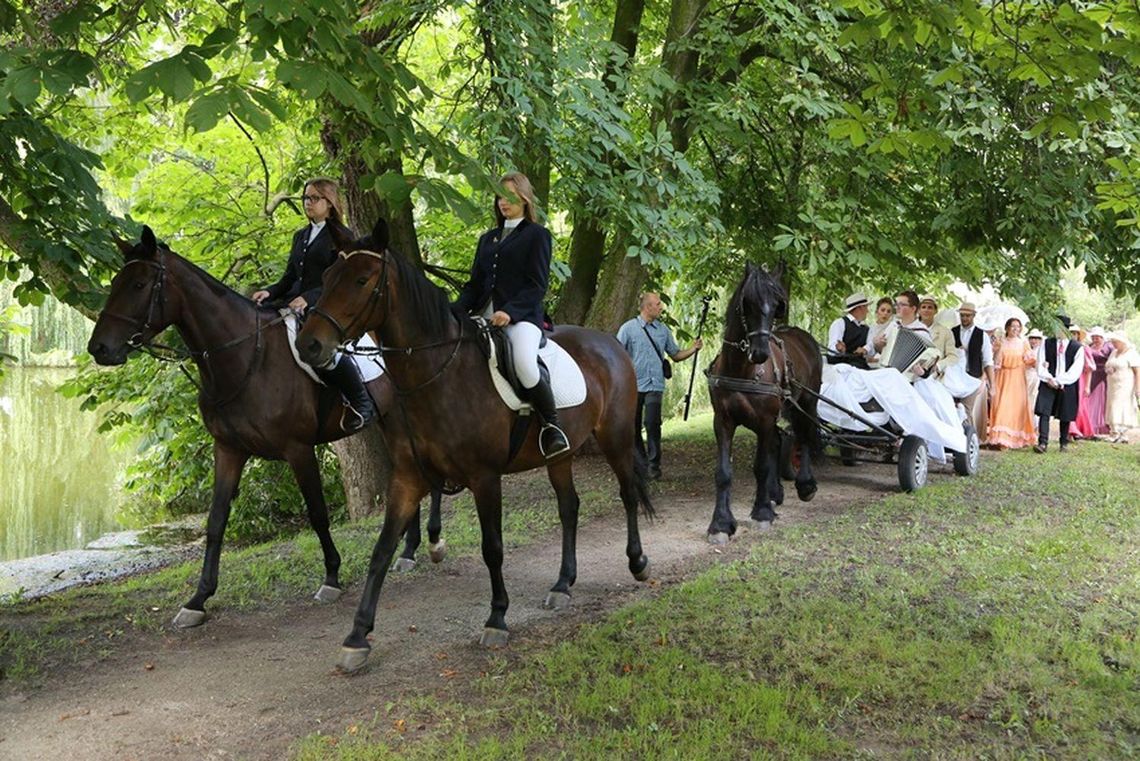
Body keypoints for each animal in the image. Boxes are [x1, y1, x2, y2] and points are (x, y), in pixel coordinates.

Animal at [294, 218, 656, 669]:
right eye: (326, 277)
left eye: (361, 280)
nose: (309, 345)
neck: (438, 374)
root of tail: (611, 343)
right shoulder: (408, 478)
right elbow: (381, 551)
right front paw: (358, 636)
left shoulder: (485, 477)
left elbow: (492, 547)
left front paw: (497, 618)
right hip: (561, 454)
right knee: (569, 507)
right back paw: (562, 585)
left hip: (616, 438)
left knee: (627, 493)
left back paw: (637, 562)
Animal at [702, 264, 820, 544]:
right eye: (747, 302)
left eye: (777, 304)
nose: (760, 353)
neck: (740, 369)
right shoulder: (722, 421)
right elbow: (723, 473)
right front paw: (721, 524)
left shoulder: (765, 420)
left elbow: (762, 465)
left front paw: (762, 512)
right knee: (779, 441)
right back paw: (775, 493)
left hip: (807, 402)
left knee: (804, 436)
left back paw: (805, 484)